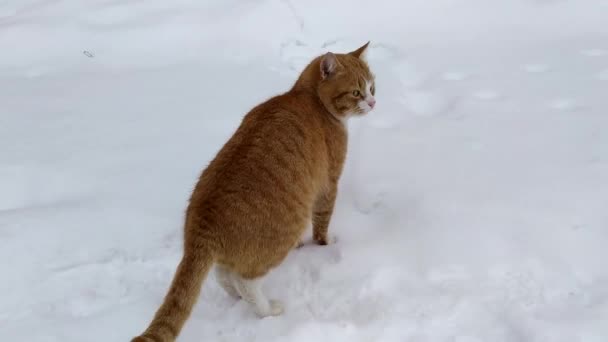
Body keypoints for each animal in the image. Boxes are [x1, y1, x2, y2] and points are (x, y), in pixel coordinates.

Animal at [134, 41, 376, 340]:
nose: (373, 102)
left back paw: (236, 296)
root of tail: (201, 225)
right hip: (282, 235)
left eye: (372, 87)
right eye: (356, 92)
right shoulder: (327, 185)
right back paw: (267, 310)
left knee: (223, 276)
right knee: (245, 281)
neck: (307, 97)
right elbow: (322, 223)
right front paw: (327, 243)